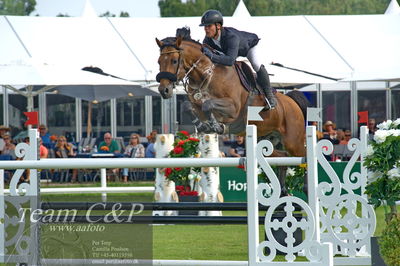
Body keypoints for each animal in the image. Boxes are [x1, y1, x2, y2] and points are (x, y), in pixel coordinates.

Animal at [155, 32, 308, 159]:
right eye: (159, 62)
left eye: (174, 61)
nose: (164, 90)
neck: (207, 75)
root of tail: (292, 101)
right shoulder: (196, 103)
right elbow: (188, 106)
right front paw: (204, 126)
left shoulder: (233, 108)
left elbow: (208, 104)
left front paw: (216, 126)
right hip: (267, 137)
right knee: (280, 154)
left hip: (293, 142)